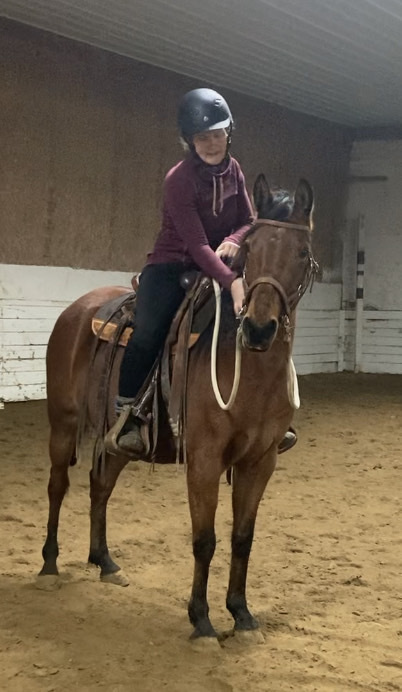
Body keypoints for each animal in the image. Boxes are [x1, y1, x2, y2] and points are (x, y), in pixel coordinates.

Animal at [37, 176, 318, 640]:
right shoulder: (204, 461)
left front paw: (242, 615)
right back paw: (48, 564)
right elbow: (205, 539)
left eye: (301, 252)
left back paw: (105, 562)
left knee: (100, 484)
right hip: (61, 423)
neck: (248, 369)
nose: (259, 329)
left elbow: (243, 537)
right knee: (58, 486)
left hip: (121, 439)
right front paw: (202, 620)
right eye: (251, 250)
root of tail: (77, 310)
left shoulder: (260, 462)